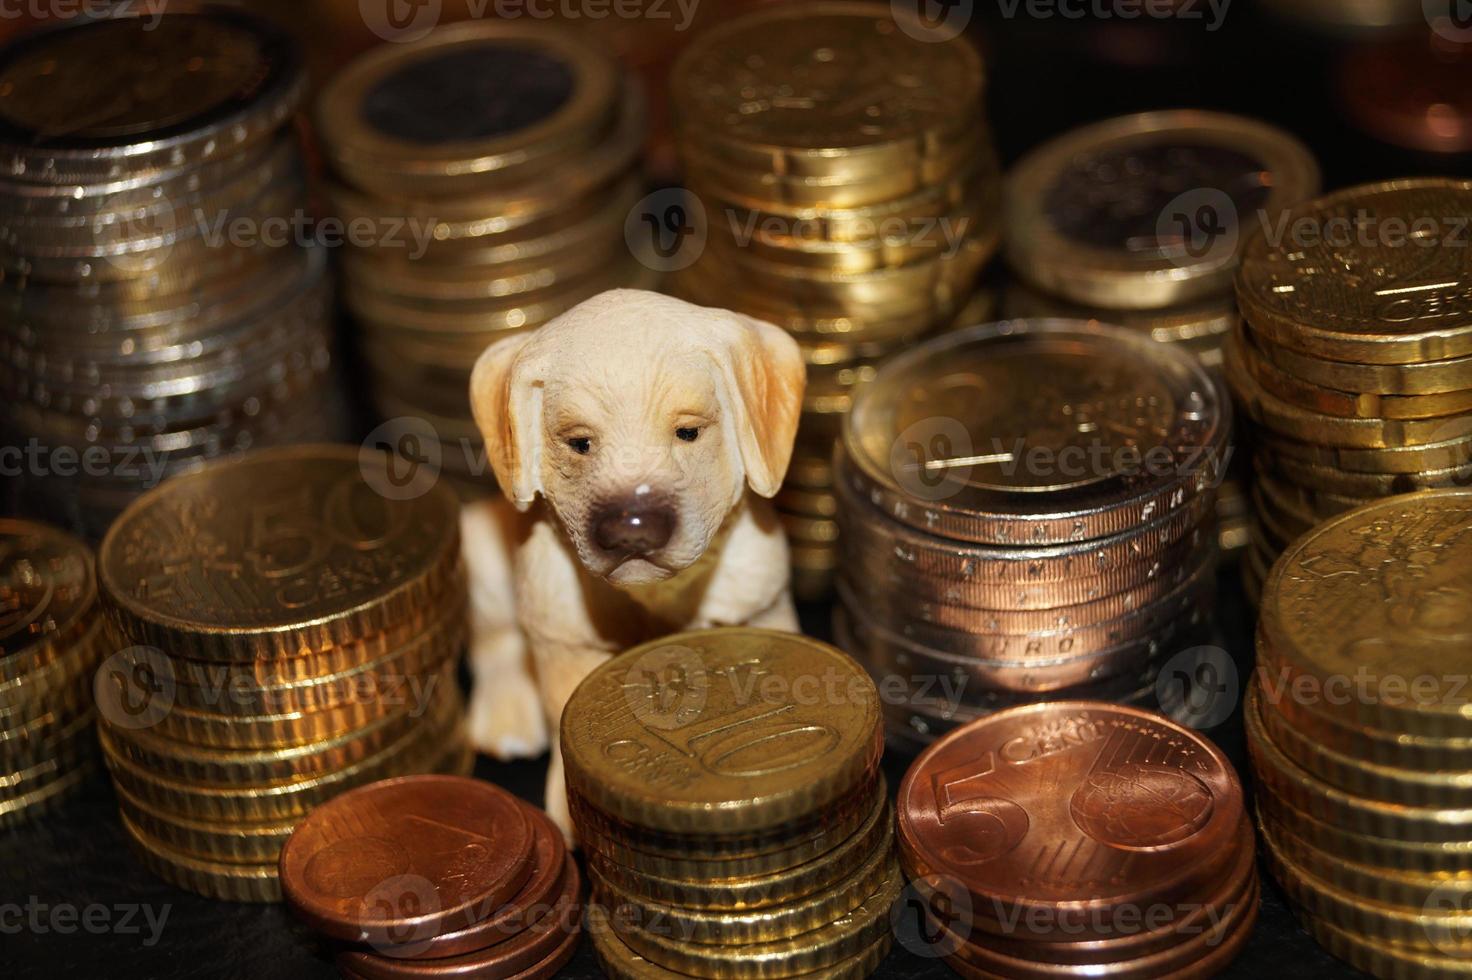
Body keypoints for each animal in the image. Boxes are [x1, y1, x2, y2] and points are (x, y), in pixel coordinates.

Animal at [462, 283, 800, 829]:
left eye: (688, 432)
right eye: (580, 443)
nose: (631, 529)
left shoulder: (762, 602)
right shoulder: (562, 634)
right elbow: (561, 700)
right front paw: (566, 803)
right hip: (479, 551)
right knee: (493, 640)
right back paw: (506, 713)